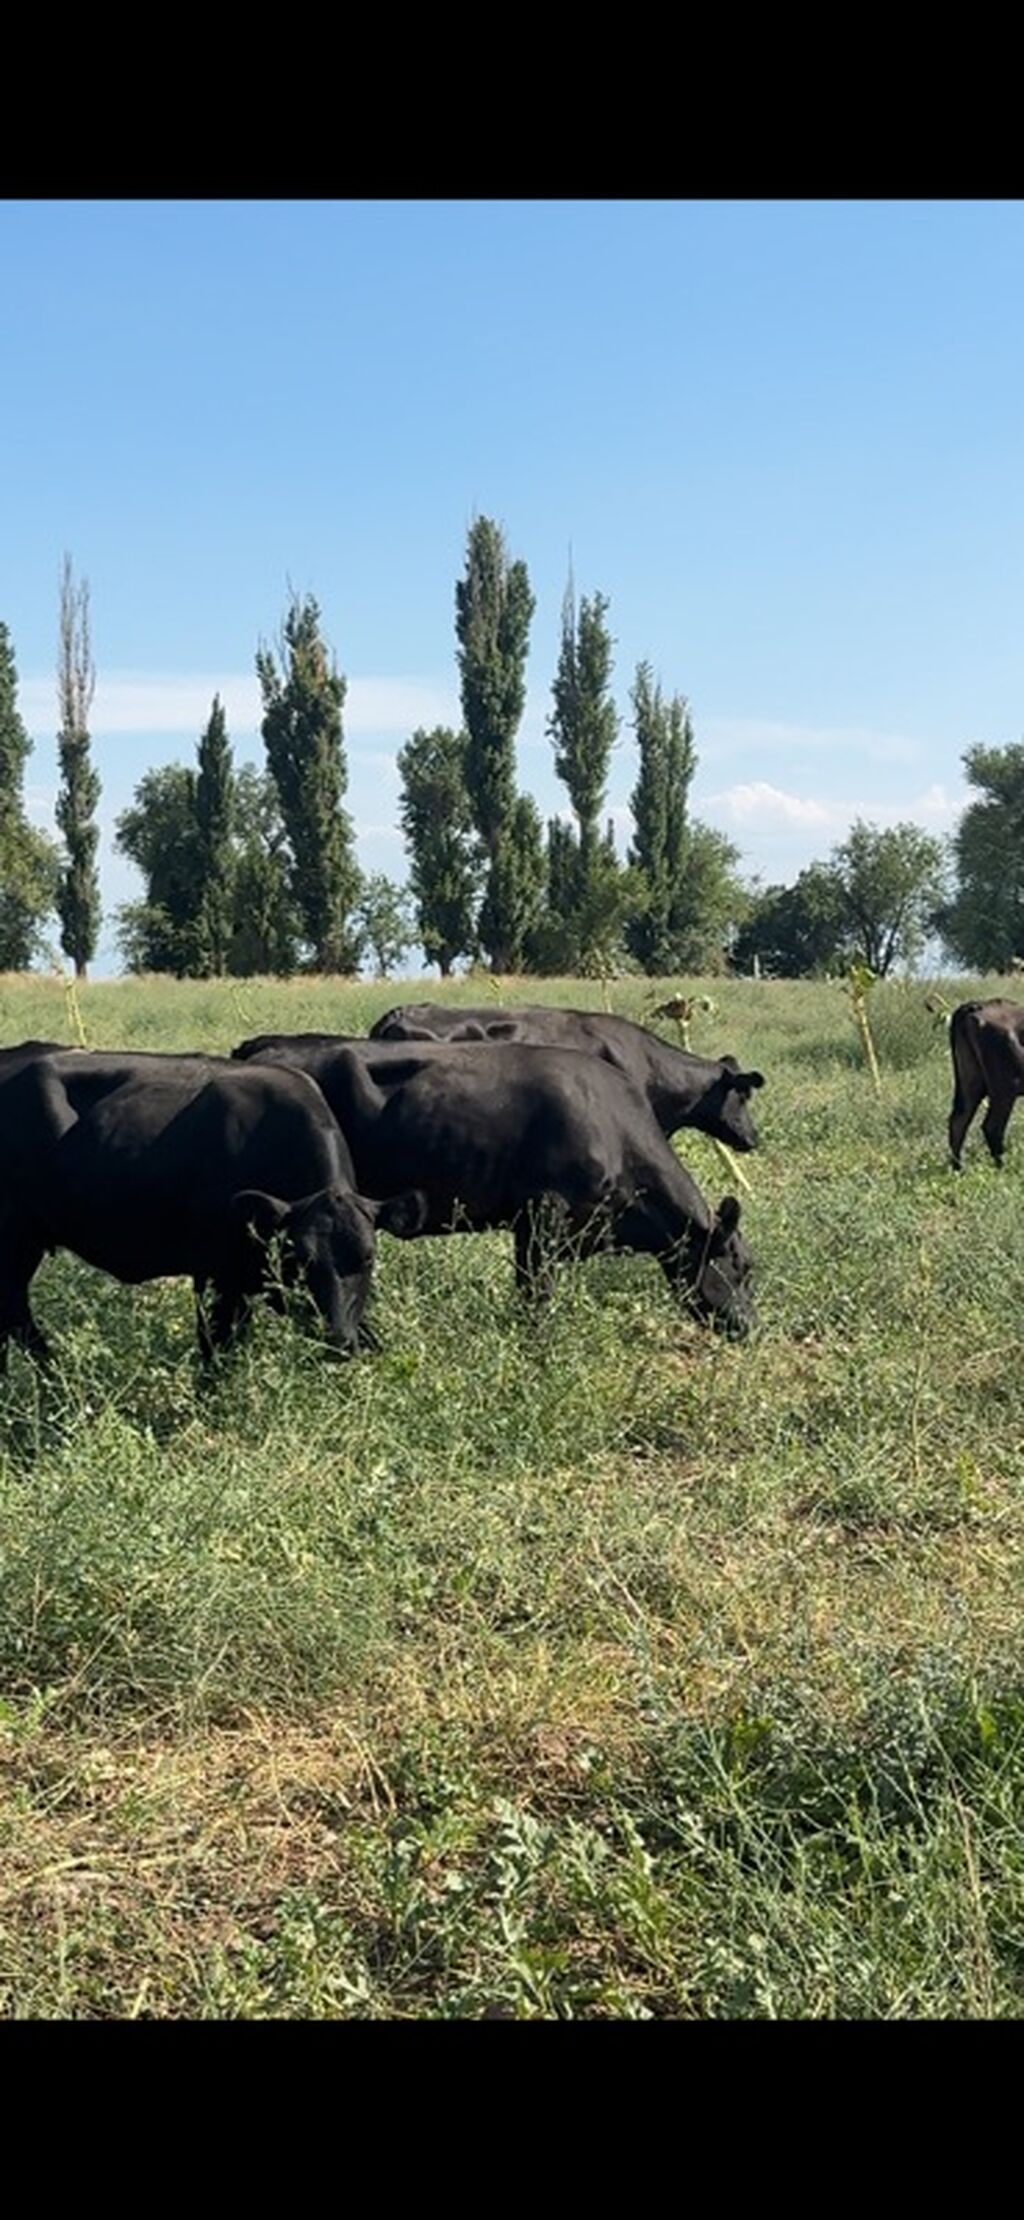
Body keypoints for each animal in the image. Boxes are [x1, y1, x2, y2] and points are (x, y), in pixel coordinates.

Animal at [0, 1048, 423, 1366]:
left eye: (367, 1258)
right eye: (298, 1258)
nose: (336, 1340)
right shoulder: (218, 1275)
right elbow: (214, 1354)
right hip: (16, 1242)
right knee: (15, 1318)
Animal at [948, 999, 1024, 1169]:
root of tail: (976, 1006)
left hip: (970, 1084)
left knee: (958, 1121)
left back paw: (958, 1168)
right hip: (1005, 1089)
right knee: (992, 1127)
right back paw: (1002, 1167)